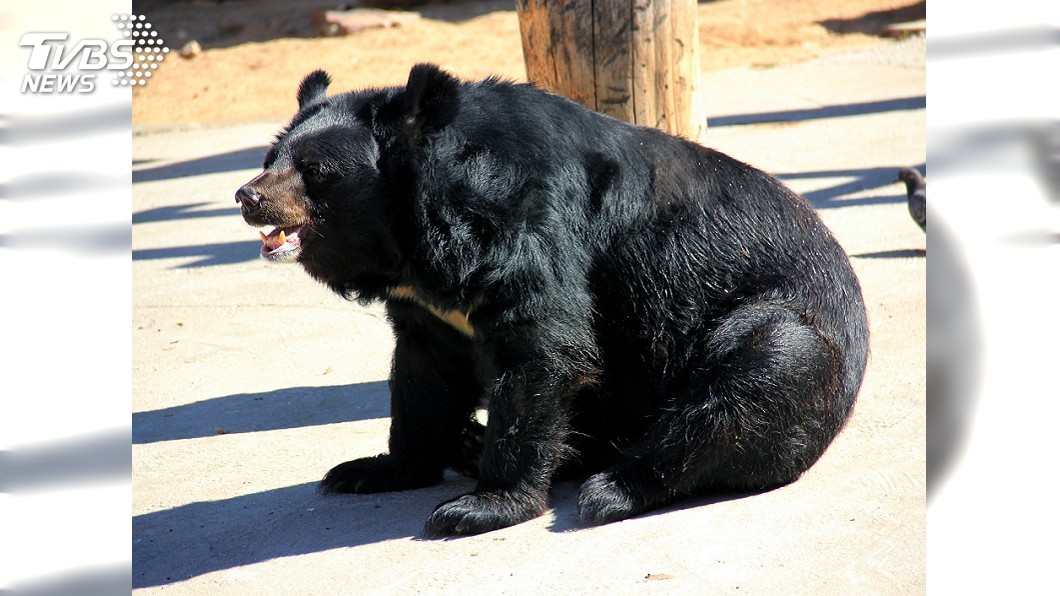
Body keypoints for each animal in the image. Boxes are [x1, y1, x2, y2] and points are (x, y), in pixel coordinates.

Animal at [236, 64, 869, 537]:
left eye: (315, 170)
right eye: (270, 161)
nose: (247, 197)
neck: (419, 244)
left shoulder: (530, 227)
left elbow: (540, 348)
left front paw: (475, 508)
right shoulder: (429, 310)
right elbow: (423, 375)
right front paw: (371, 471)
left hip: (787, 333)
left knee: (750, 382)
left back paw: (611, 489)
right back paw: (472, 446)